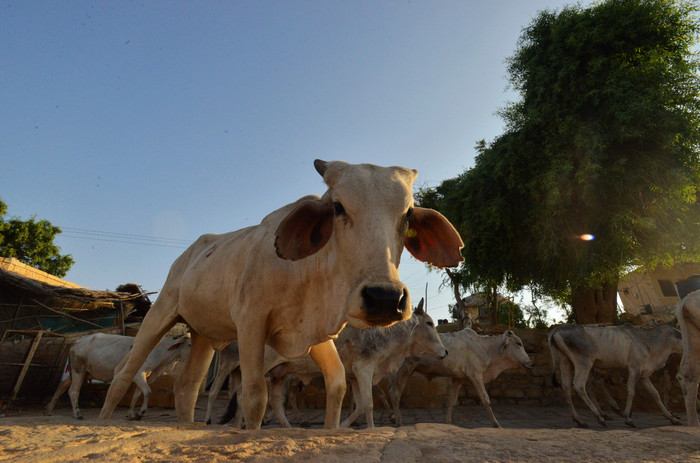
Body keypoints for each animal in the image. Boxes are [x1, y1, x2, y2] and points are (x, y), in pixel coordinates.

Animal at [45, 334, 190, 420]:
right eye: (189, 344)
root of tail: (76, 342)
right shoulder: (138, 373)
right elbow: (148, 392)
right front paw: (141, 412)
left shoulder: (146, 376)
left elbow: (137, 394)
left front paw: (131, 414)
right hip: (78, 370)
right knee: (73, 391)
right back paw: (77, 414)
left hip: (81, 372)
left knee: (61, 387)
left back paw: (49, 410)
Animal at [95, 160, 462, 432]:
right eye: (338, 207)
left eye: (408, 213)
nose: (385, 299)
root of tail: (189, 253)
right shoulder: (251, 323)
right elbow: (255, 397)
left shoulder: (316, 335)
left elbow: (337, 385)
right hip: (162, 312)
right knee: (123, 374)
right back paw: (103, 421)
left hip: (201, 335)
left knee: (186, 389)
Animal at [548, 322, 680, 428]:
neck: (646, 339)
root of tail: (558, 329)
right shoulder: (634, 367)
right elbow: (631, 391)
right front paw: (628, 418)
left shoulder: (643, 374)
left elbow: (655, 394)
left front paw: (672, 418)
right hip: (584, 363)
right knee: (580, 386)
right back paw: (599, 417)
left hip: (565, 362)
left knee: (567, 388)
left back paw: (579, 420)